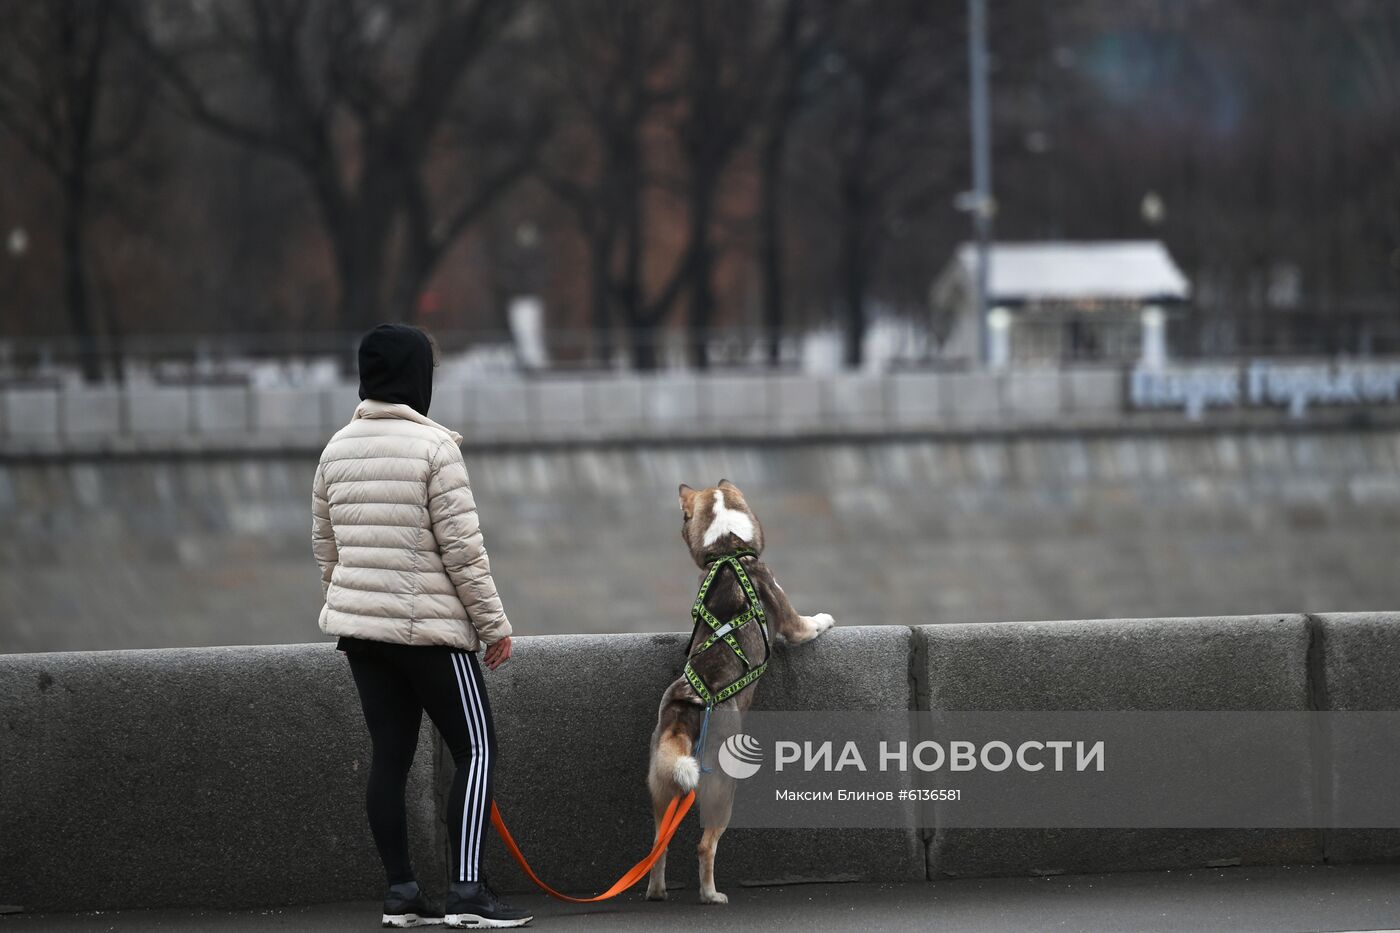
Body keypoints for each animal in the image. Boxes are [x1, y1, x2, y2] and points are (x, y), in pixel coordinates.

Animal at [644, 479, 828, 902]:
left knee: (658, 844)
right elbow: (808, 625)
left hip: (662, 785)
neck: (728, 552)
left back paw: (657, 892)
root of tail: (687, 706)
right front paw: (825, 618)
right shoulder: (790, 621)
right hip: (720, 788)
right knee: (705, 845)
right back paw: (711, 895)